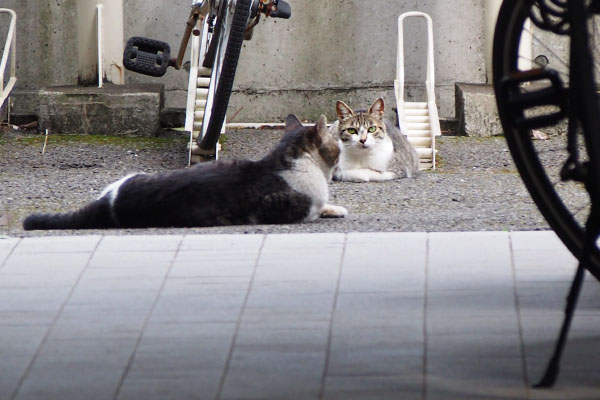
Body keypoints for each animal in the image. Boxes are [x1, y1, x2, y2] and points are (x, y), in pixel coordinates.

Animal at [23, 114, 346, 230]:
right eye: (339, 147)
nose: (342, 157)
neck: (287, 160)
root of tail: (109, 202)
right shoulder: (301, 210)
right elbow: (320, 208)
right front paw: (336, 208)